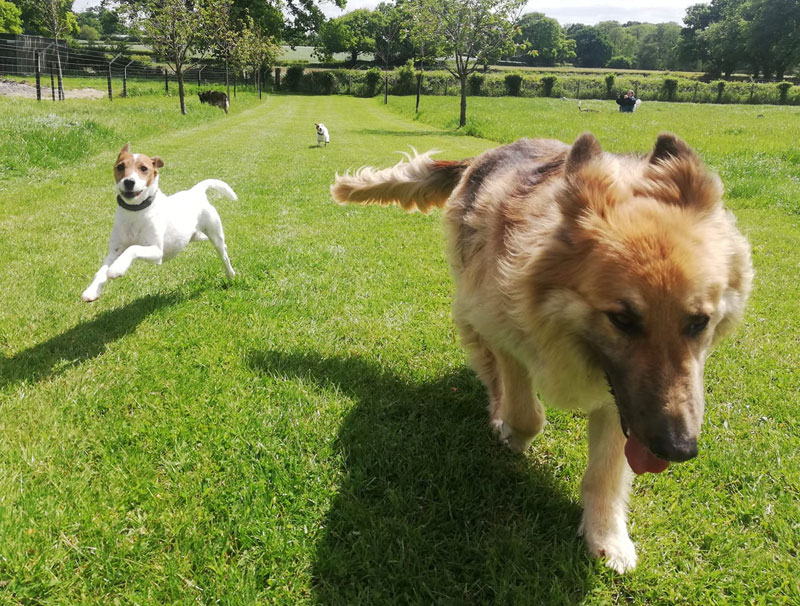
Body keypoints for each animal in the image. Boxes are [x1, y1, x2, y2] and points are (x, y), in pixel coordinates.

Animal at [332, 134, 756, 576]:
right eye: (622, 319)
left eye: (698, 322)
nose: (678, 449)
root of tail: (492, 152)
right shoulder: (507, 338)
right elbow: (525, 412)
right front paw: (511, 433)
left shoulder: (619, 402)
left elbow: (605, 472)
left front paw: (606, 535)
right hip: (470, 307)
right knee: (490, 372)